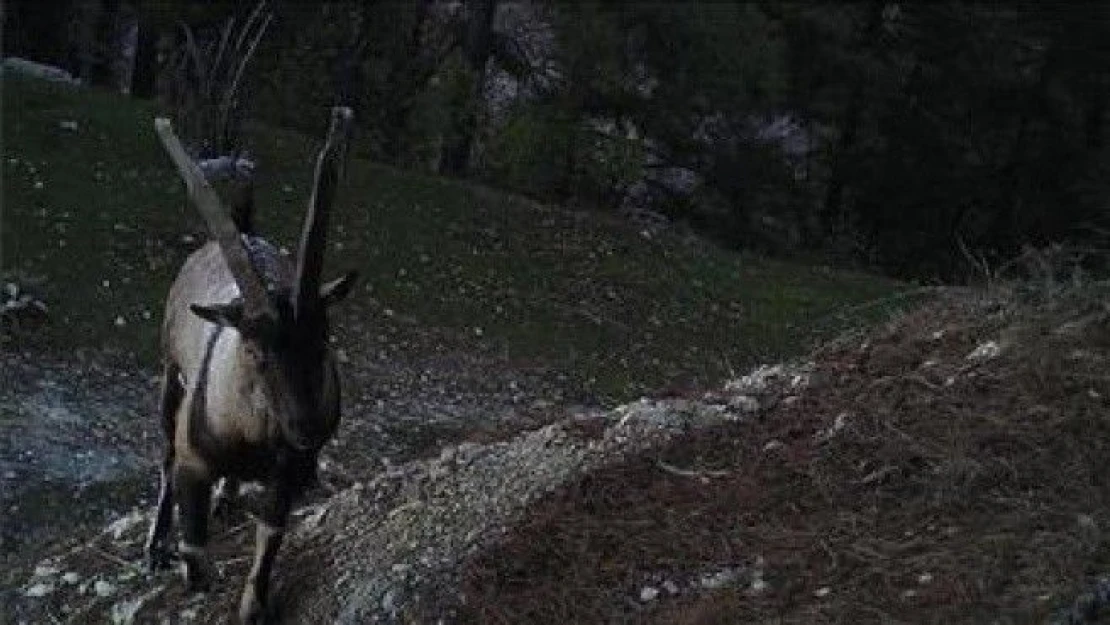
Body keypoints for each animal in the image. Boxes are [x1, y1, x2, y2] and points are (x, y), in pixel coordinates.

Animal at [146, 107, 355, 625]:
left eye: (323, 340)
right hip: (170, 374)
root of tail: (243, 228)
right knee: (163, 452)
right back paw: (156, 547)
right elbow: (194, 546)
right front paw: (196, 575)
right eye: (256, 352)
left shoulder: (288, 473)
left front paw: (253, 607)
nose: (305, 427)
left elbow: (271, 534)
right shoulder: (194, 462)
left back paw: (227, 497)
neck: (252, 436)